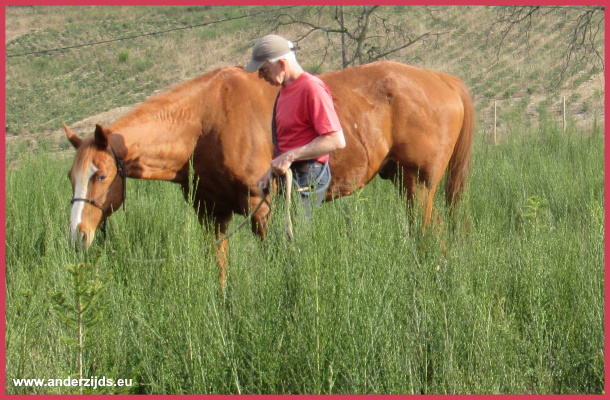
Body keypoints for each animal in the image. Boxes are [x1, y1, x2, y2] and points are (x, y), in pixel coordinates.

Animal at [67, 60, 476, 288]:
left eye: (100, 176)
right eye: (72, 177)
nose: (76, 236)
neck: (207, 121)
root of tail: (442, 79)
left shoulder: (261, 209)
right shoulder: (210, 214)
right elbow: (219, 269)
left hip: (418, 185)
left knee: (431, 233)